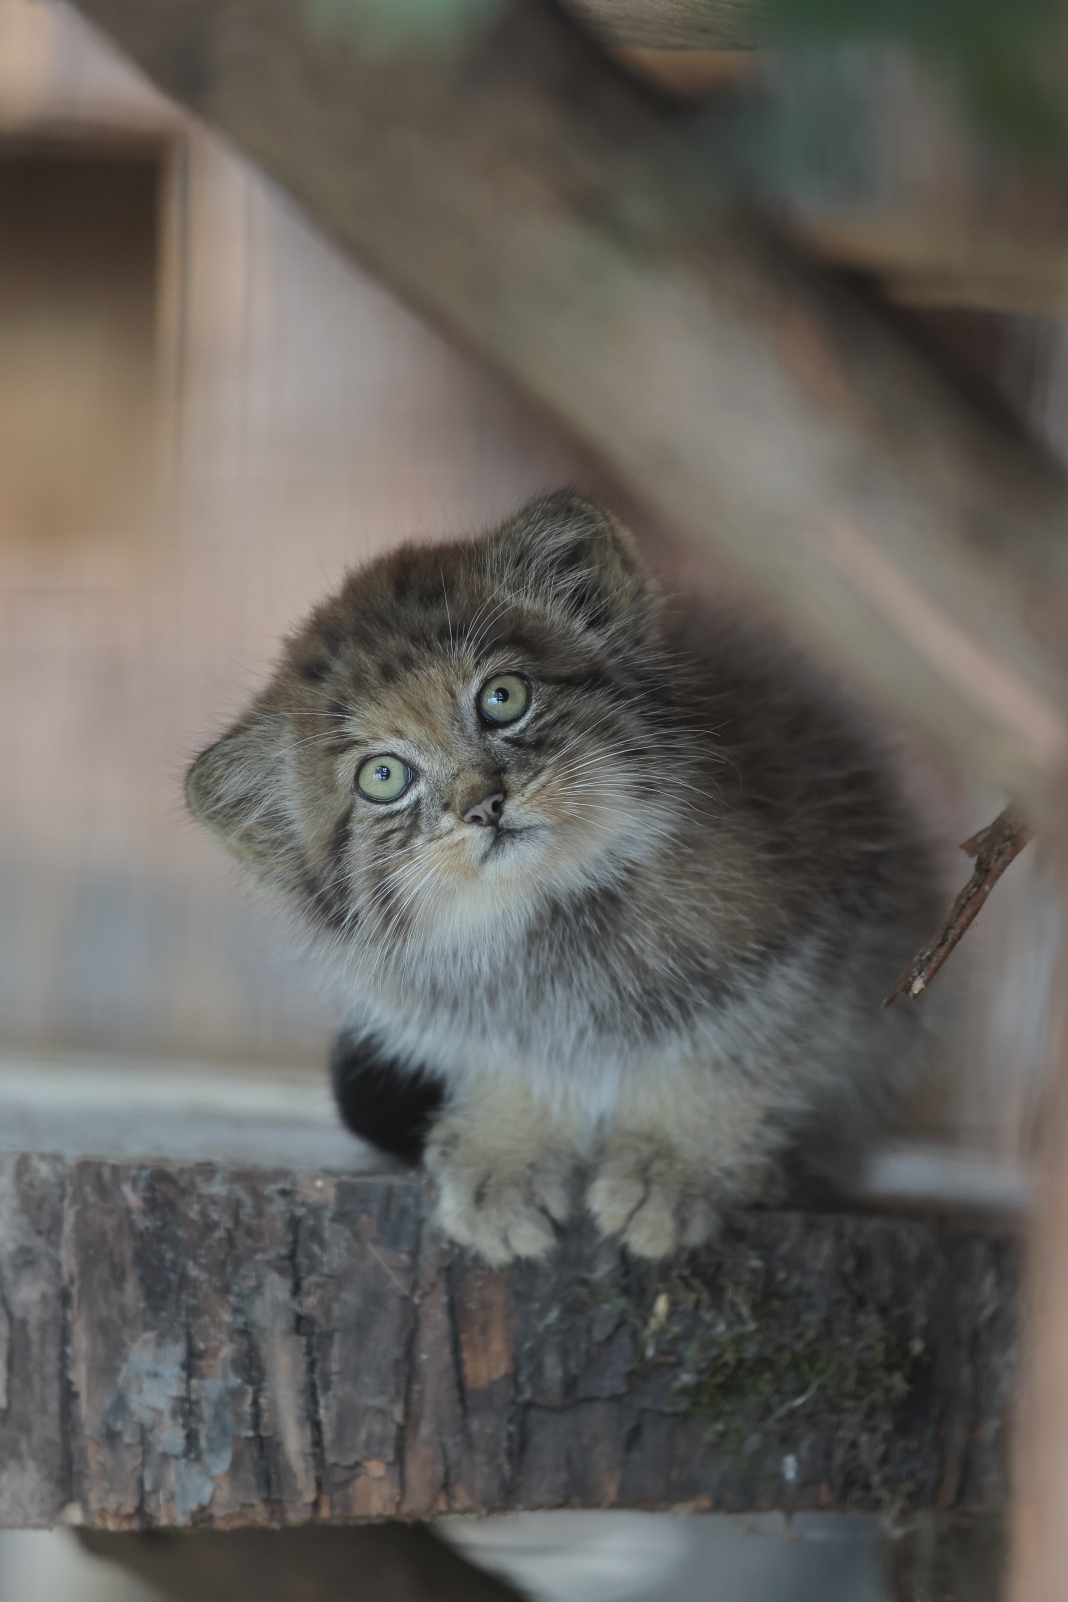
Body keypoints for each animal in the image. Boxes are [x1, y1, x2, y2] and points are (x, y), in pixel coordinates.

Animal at [188, 490, 941, 1262]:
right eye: (384, 777)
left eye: (503, 697)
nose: (483, 805)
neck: (550, 916)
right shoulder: (478, 1016)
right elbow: (520, 1066)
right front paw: (506, 1150)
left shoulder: (803, 940)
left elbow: (724, 1055)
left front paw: (672, 1162)